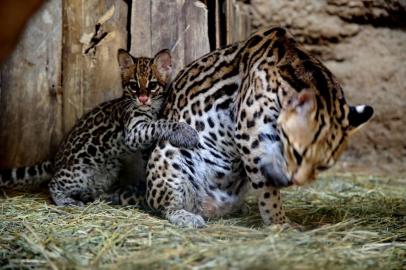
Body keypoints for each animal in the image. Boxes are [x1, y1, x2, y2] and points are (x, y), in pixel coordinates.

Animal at [0, 49, 200, 207]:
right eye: (133, 85)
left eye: (152, 85)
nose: (143, 99)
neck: (149, 108)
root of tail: (56, 158)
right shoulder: (133, 132)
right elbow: (158, 123)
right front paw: (185, 132)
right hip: (78, 171)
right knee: (54, 183)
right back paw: (65, 201)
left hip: (109, 169)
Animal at [144, 26, 372, 227]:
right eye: (297, 154)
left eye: (322, 166)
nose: (296, 182)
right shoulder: (251, 137)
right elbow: (268, 190)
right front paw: (279, 222)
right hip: (169, 154)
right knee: (165, 204)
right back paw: (185, 216)